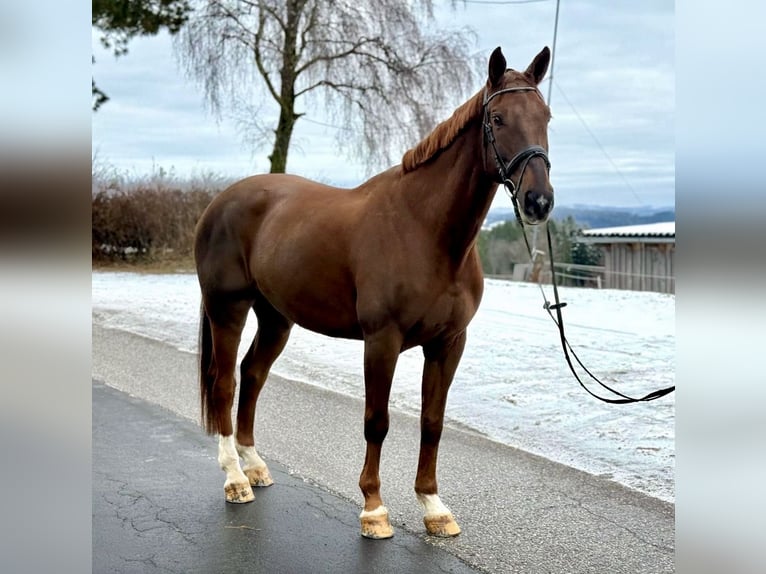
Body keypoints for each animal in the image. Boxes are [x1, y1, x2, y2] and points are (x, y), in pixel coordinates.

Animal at [194, 45, 554, 539]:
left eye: (546, 117)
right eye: (497, 119)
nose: (539, 201)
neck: (425, 230)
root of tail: (219, 201)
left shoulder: (449, 344)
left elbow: (432, 422)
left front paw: (433, 507)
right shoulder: (382, 341)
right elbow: (376, 422)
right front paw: (374, 508)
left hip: (276, 318)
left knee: (252, 374)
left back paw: (255, 466)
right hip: (227, 308)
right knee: (225, 383)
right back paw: (234, 478)